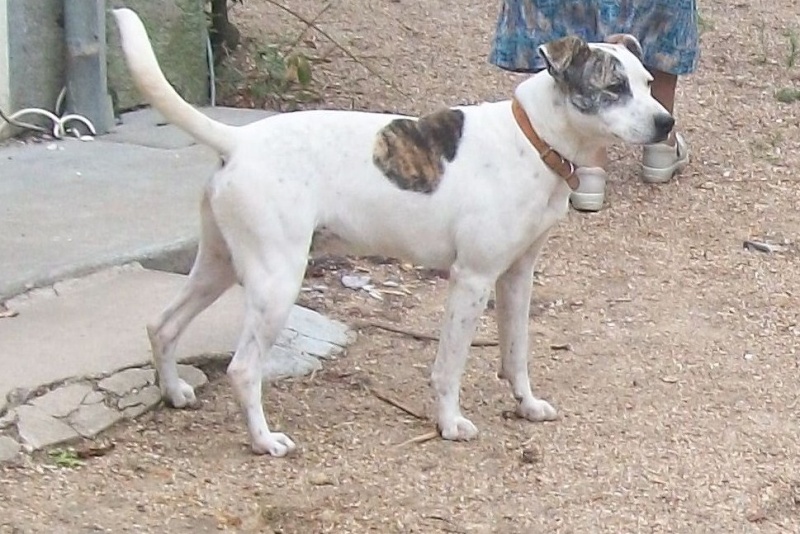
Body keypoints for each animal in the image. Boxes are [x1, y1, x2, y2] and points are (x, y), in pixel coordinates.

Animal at [114, 8, 676, 458]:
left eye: (649, 82)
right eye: (613, 88)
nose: (666, 123)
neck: (533, 137)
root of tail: (238, 139)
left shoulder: (516, 277)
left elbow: (516, 354)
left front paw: (527, 405)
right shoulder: (471, 279)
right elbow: (449, 365)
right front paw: (449, 424)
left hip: (219, 265)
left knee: (162, 325)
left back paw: (174, 394)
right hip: (276, 283)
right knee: (243, 368)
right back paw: (263, 441)